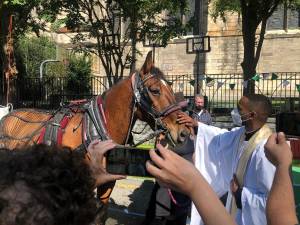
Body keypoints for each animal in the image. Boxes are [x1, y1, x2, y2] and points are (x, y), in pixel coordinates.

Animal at [0, 50, 190, 220]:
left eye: (170, 88)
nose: (184, 132)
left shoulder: (107, 182)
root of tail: (7, 115)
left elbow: (100, 215)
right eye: (155, 90)